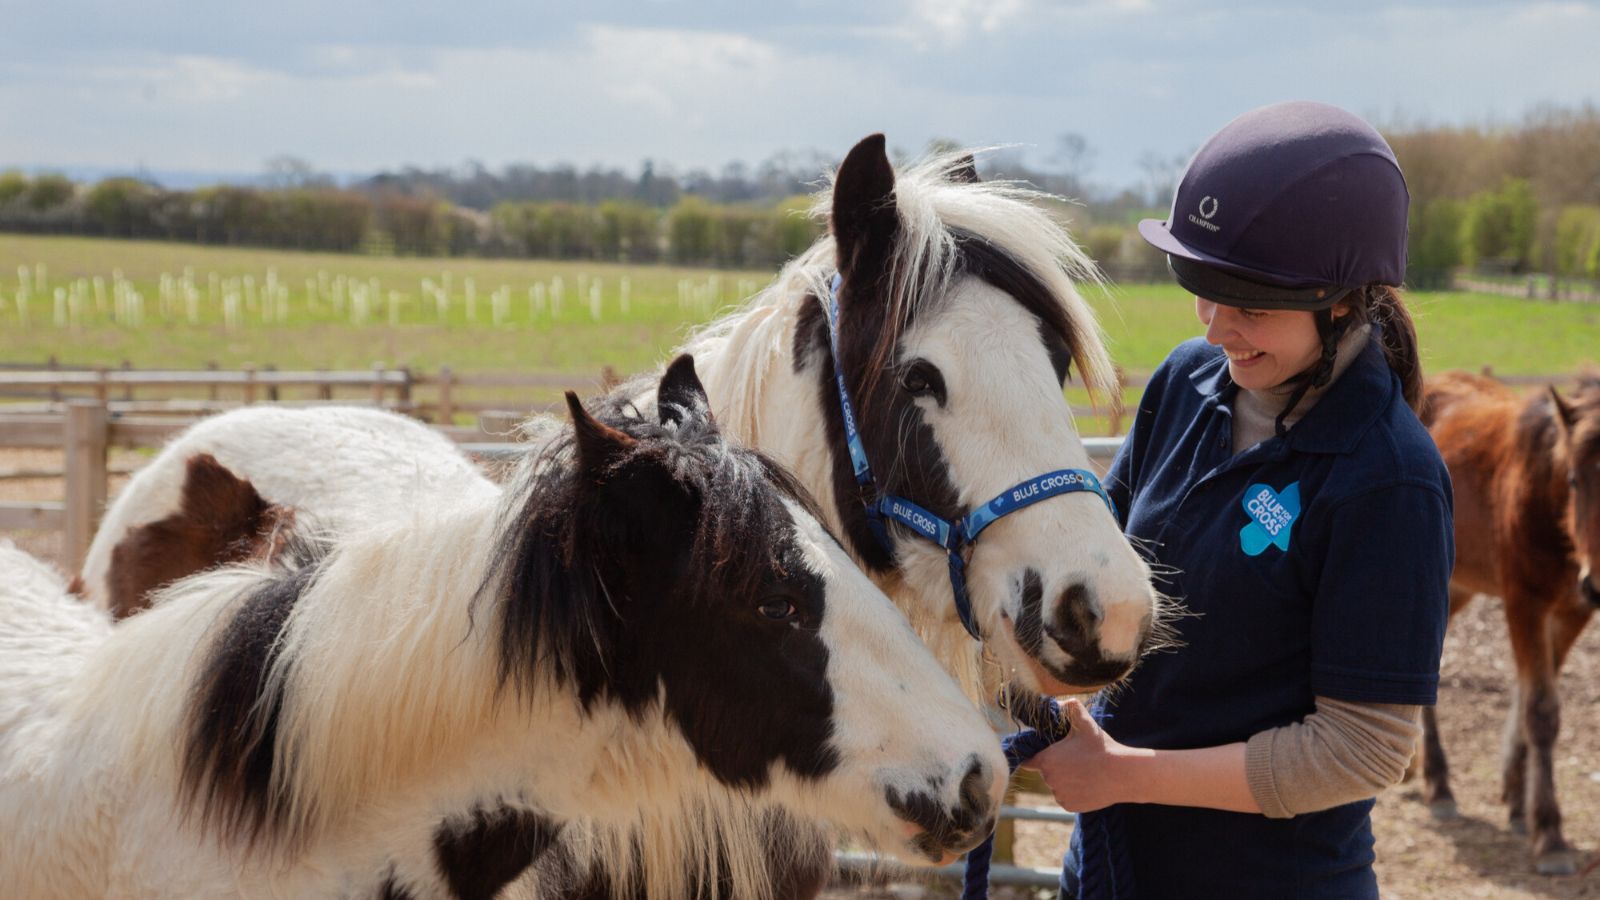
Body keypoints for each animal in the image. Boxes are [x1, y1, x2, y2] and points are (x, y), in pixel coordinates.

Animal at [1420, 368, 1593, 871]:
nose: (1598, 583)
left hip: (1459, 587)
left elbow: (1527, 697)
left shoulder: (1573, 611)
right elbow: (1540, 711)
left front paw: (1518, 800)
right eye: (1575, 480)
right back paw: (1438, 784)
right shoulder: (1524, 602)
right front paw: (1549, 833)